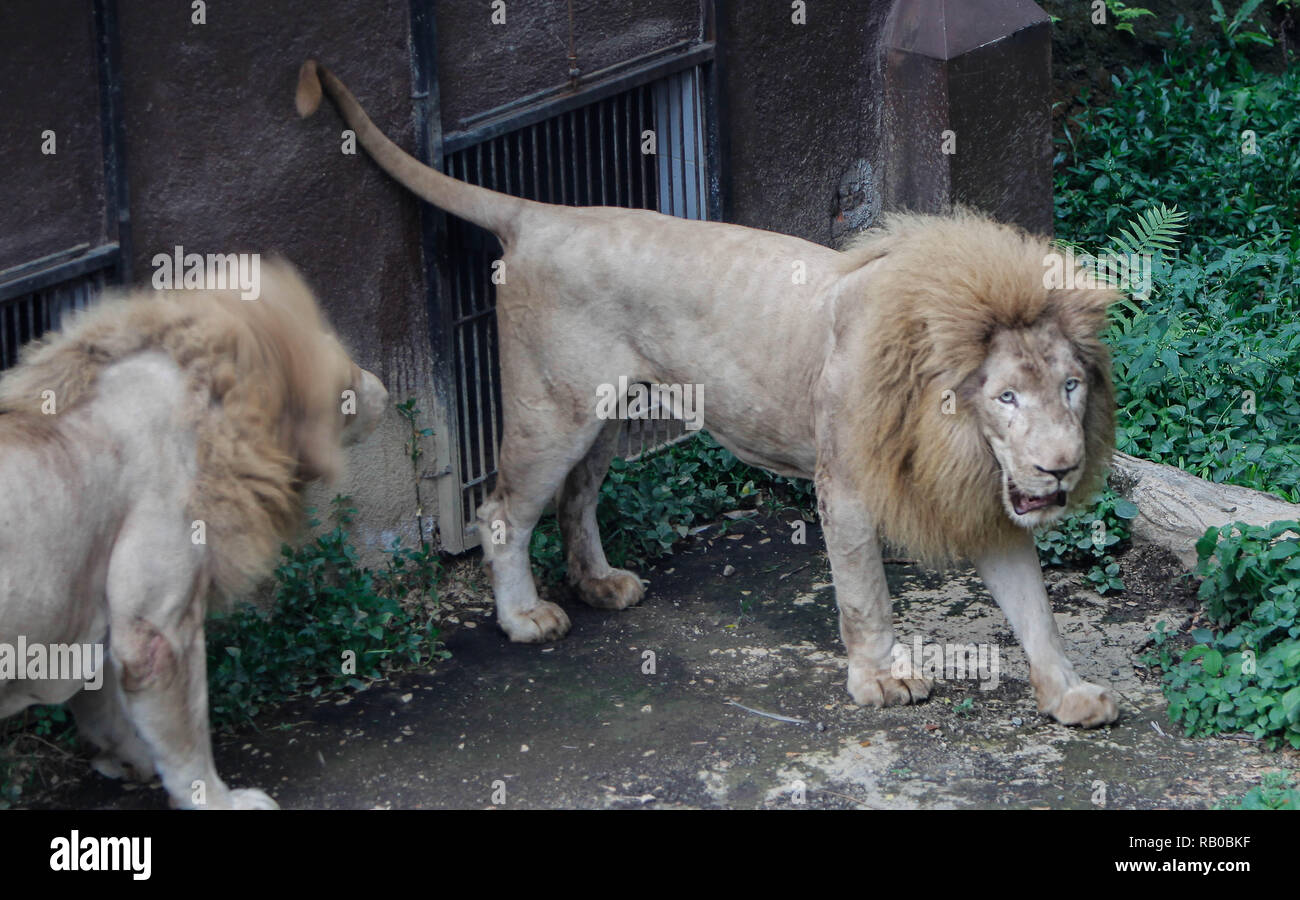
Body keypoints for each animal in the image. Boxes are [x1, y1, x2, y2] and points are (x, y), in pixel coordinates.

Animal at [0, 260, 388, 808]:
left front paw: (126, 759)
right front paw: (222, 799)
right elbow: (186, 733)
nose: (382, 384)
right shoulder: (156, 625)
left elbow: (103, 703)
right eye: (345, 361)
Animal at [297, 61, 1120, 728]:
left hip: (608, 416)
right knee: (501, 511)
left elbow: (1035, 610)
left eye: (1070, 387)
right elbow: (866, 595)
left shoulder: (986, 498)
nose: (1060, 467)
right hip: (553, 409)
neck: (957, 436)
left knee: (576, 499)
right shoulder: (847, 485)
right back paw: (527, 616)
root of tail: (543, 215)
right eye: (1005, 398)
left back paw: (600, 584)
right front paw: (881, 680)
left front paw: (1070, 695)